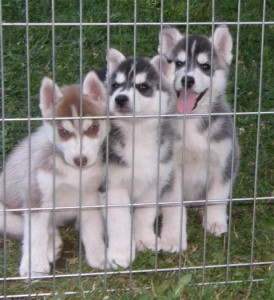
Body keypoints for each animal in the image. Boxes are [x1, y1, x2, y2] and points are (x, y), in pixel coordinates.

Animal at [0, 71, 109, 278]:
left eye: (92, 128)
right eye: (63, 132)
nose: (80, 160)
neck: (73, 174)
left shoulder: (90, 196)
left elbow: (92, 227)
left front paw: (98, 254)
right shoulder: (36, 196)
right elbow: (35, 234)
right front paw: (34, 265)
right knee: (29, 227)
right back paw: (52, 244)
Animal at [101, 49, 185, 270]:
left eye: (143, 87)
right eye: (115, 86)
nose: (120, 99)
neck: (137, 132)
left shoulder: (153, 181)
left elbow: (145, 214)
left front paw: (144, 240)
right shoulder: (113, 187)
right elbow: (120, 221)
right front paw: (120, 254)